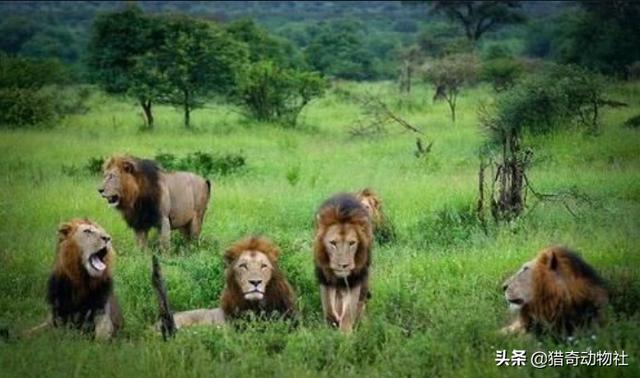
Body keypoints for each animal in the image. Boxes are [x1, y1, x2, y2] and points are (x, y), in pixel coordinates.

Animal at [312, 193, 372, 332]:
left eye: (352, 243)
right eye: (333, 243)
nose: (343, 265)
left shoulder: (354, 280)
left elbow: (348, 312)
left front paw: (345, 334)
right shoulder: (324, 278)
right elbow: (328, 306)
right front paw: (331, 324)